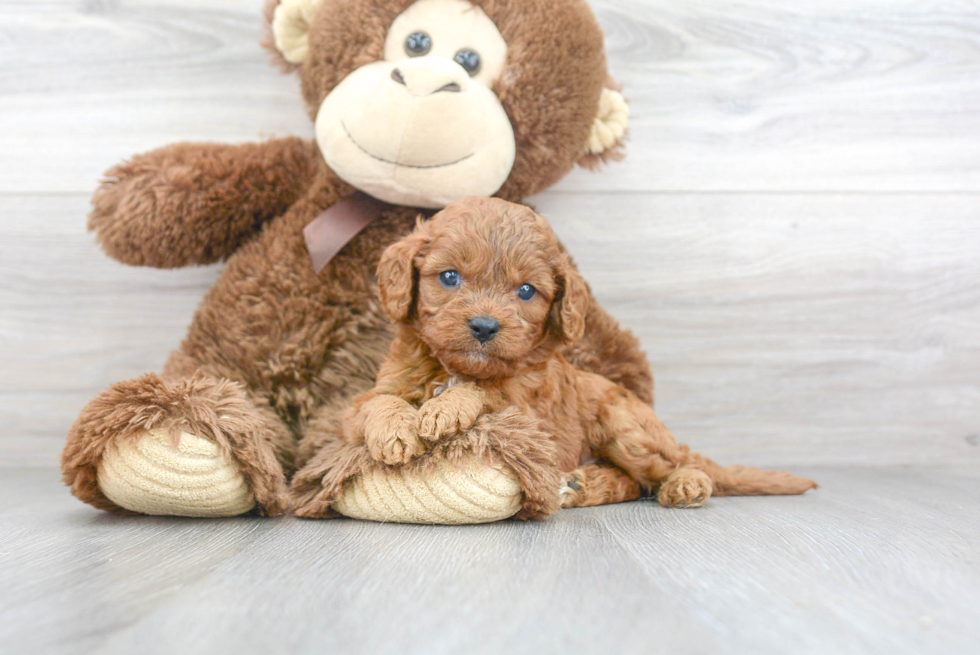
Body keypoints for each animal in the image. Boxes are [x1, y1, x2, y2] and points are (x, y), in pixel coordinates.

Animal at [340, 197, 816, 510]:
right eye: (450, 277)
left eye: (526, 291)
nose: (484, 326)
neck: (456, 367)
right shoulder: (375, 392)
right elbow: (378, 403)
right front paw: (395, 432)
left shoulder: (533, 417)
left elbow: (488, 393)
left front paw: (447, 408)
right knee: (631, 483)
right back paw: (579, 486)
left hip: (625, 427)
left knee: (665, 470)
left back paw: (684, 486)